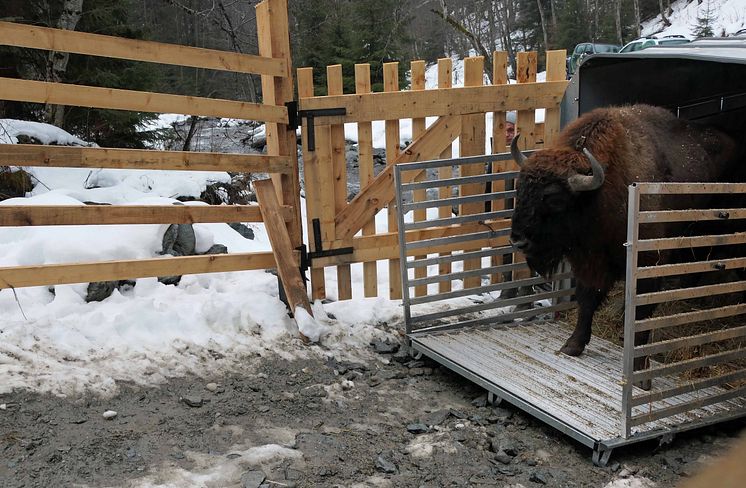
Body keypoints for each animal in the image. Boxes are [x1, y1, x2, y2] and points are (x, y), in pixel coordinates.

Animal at [508, 104, 736, 358]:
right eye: (520, 189)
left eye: (554, 198)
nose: (518, 241)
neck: (597, 194)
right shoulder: (590, 261)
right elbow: (588, 298)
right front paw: (573, 345)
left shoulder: (647, 261)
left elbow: (643, 308)